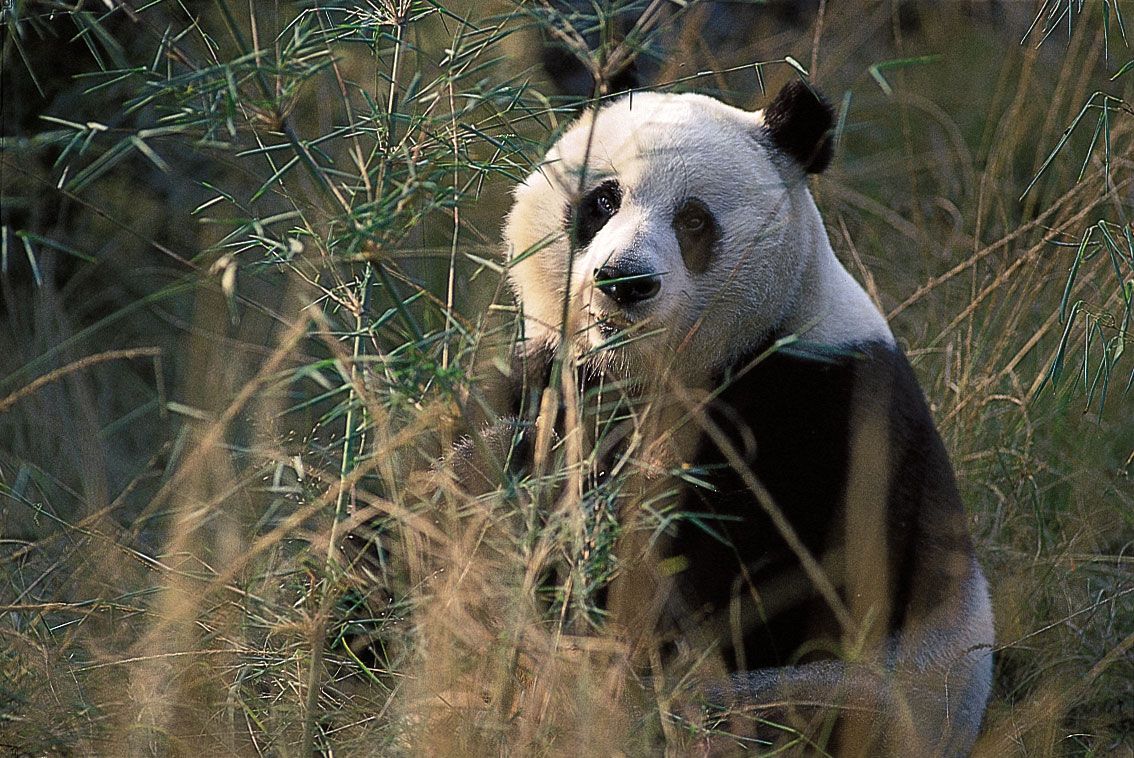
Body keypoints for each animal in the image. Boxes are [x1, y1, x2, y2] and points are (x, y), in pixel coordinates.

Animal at [469, 79, 993, 753]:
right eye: (604, 200)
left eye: (693, 219)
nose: (624, 282)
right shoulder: (558, 377)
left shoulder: (819, 411)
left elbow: (754, 584)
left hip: (854, 700)